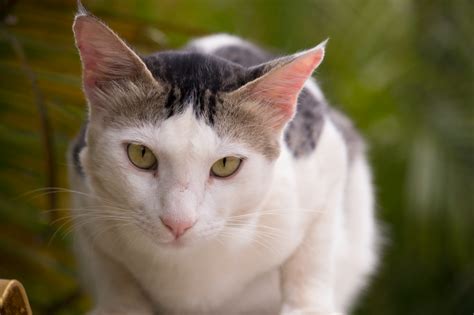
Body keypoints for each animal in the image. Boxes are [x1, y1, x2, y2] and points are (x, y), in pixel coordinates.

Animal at [70, 3, 380, 315]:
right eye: (141, 154)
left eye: (225, 165)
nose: (178, 223)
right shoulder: (83, 192)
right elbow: (110, 269)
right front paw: (120, 305)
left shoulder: (328, 154)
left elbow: (313, 250)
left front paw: (307, 305)